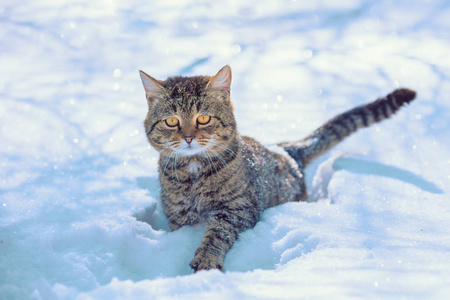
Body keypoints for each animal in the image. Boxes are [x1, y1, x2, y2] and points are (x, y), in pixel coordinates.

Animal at [139, 65, 416, 272]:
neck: (194, 172)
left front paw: (206, 259)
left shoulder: (237, 209)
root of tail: (285, 149)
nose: (188, 137)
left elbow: (217, 234)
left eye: (204, 118)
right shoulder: (179, 218)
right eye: (171, 121)